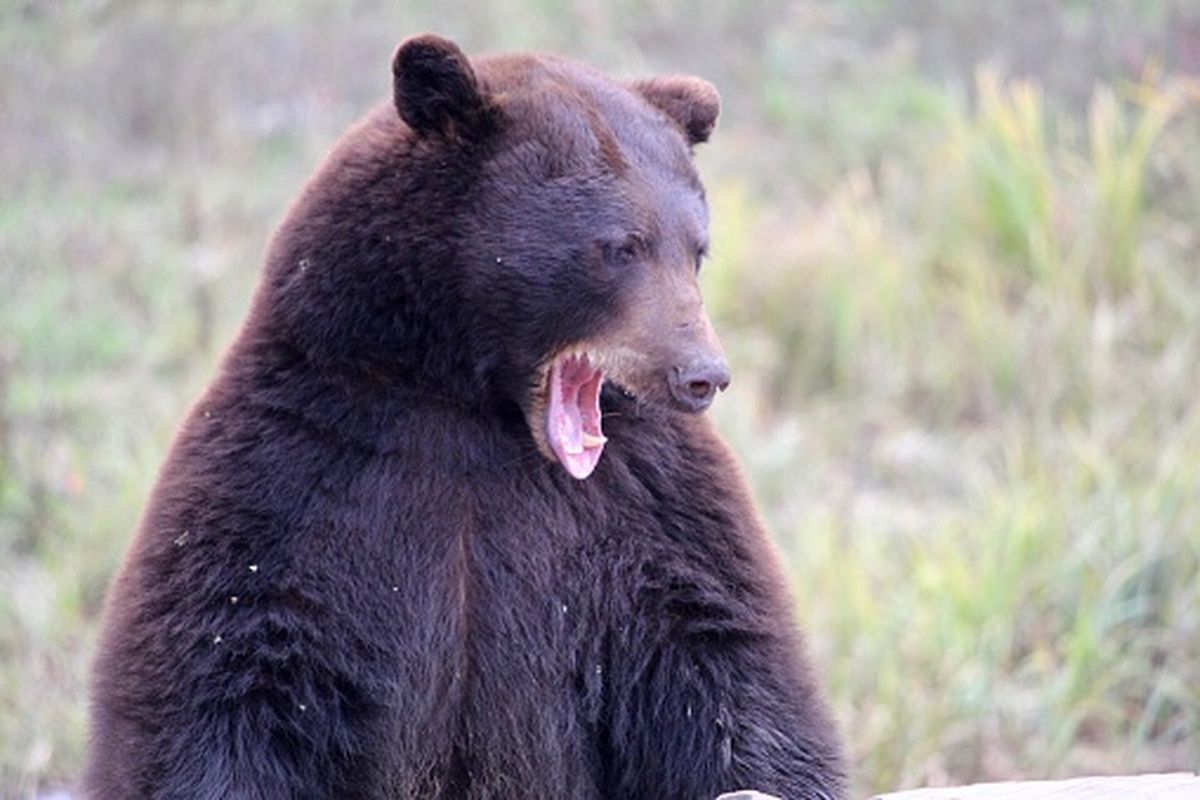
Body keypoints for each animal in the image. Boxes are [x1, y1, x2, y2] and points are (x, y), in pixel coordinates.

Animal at [84, 32, 844, 800]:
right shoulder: (292, 473)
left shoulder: (652, 501)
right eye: (619, 246)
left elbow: (726, 665)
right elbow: (221, 672)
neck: (473, 409)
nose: (701, 374)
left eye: (696, 248)